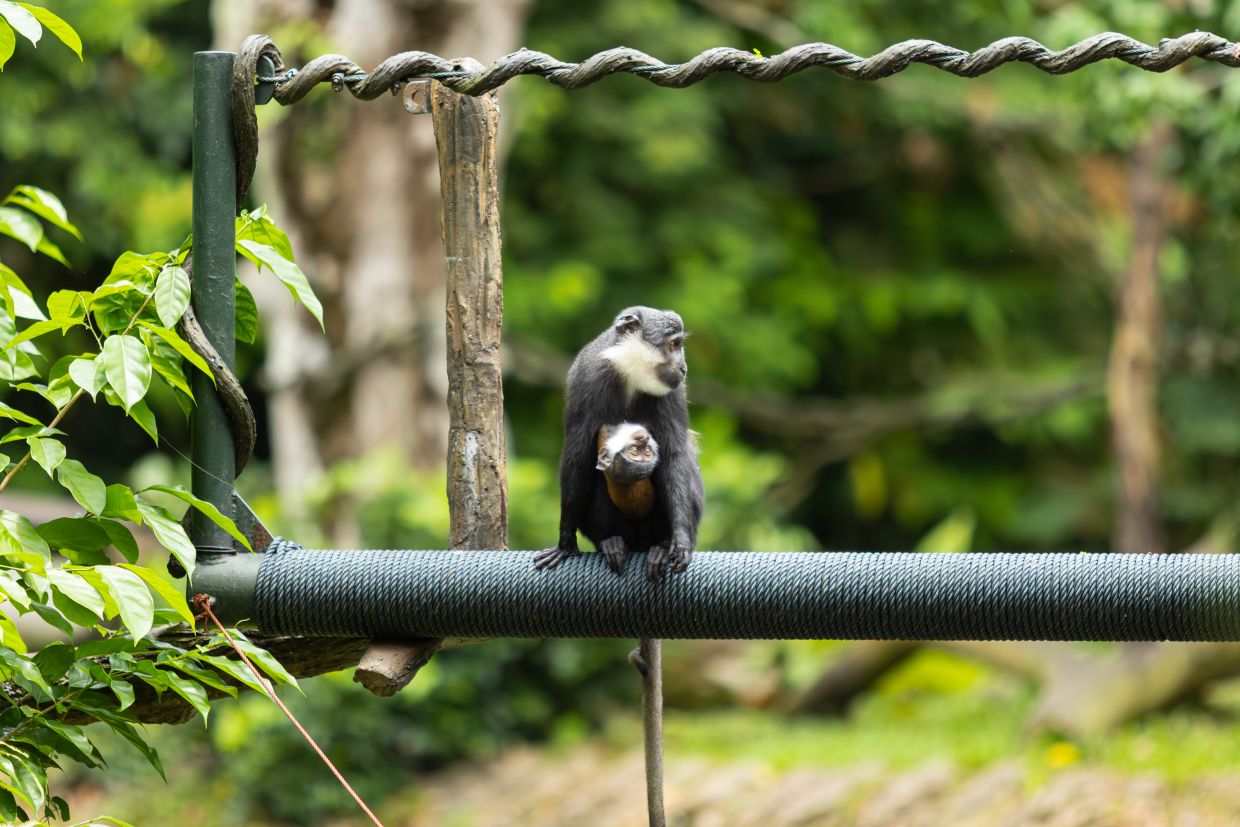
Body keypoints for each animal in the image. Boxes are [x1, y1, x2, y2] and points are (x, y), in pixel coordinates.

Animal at [533, 306, 704, 582]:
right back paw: (611, 542)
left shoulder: (674, 392)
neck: (629, 373)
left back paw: (661, 547)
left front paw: (678, 542)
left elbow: (674, 455)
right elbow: (577, 456)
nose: (683, 367)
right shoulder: (587, 380)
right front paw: (565, 544)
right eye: (673, 344)